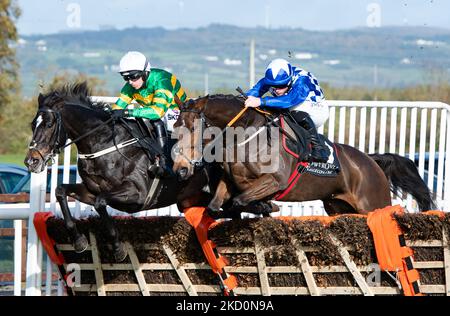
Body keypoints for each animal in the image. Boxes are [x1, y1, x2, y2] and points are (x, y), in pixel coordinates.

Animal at [23, 82, 221, 260]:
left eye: (49, 124)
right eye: (32, 124)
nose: (31, 161)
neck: (104, 143)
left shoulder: (137, 194)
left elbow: (101, 203)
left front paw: (118, 249)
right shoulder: (91, 191)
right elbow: (61, 190)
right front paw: (79, 241)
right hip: (190, 198)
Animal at [171, 95, 436, 216]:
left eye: (193, 128)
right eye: (174, 127)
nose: (180, 169)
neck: (246, 138)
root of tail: (373, 162)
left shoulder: (274, 181)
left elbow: (240, 200)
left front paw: (267, 205)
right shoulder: (229, 182)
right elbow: (217, 206)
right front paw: (262, 206)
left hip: (373, 204)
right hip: (338, 207)